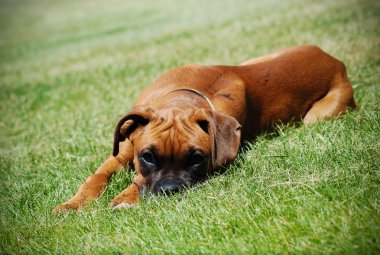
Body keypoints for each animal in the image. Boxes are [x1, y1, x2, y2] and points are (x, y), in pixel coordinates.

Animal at [53, 45, 356, 213]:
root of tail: (334, 59)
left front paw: (127, 197)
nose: (171, 190)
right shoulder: (120, 154)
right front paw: (73, 204)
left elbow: (136, 182)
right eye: (147, 157)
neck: (180, 98)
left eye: (197, 159)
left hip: (317, 117)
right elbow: (95, 178)